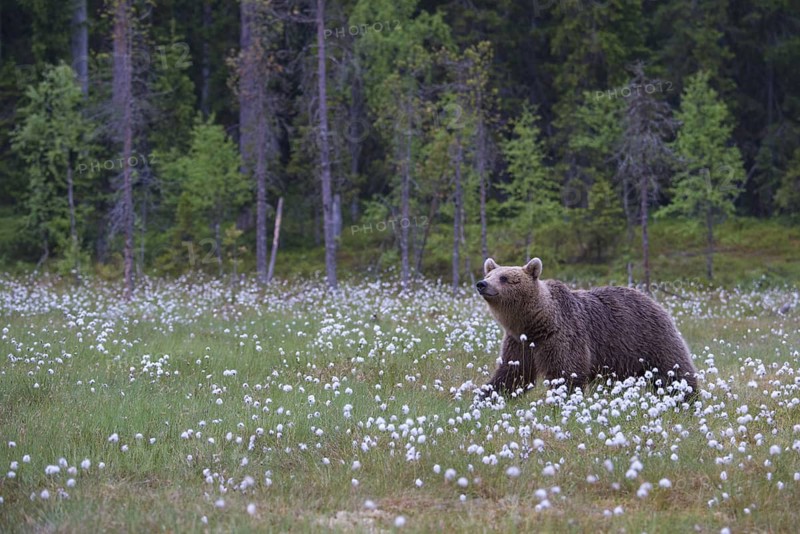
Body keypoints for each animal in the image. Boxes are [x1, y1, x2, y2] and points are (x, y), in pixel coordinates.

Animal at [476, 257, 698, 399]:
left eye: (504, 278)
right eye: (490, 273)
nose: (482, 284)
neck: (535, 324)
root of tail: (653, 300)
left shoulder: (562, 336)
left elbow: (566, 372)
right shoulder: (519, 342)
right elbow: (513, 372)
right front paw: (486, 395)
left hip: (650, 338)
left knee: (674, 370)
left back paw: (688, 398)